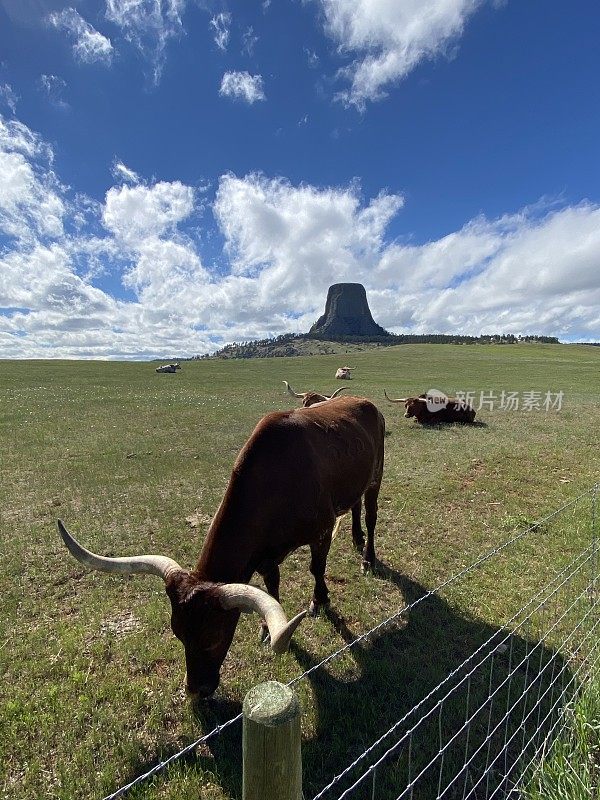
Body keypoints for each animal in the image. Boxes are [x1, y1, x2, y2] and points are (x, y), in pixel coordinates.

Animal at [57, 396, 384, 696]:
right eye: (177, 633)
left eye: (213, 637)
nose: (196, 691)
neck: (276, 482)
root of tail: (363, 400)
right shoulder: (264, 555)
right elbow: (272, 585)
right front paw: (266, 630)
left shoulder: (322, 531)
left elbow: (316, 568)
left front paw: (320, 600)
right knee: (355, 507)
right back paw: (356, 539)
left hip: (375, 478)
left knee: (370, 515)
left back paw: (367, 557)